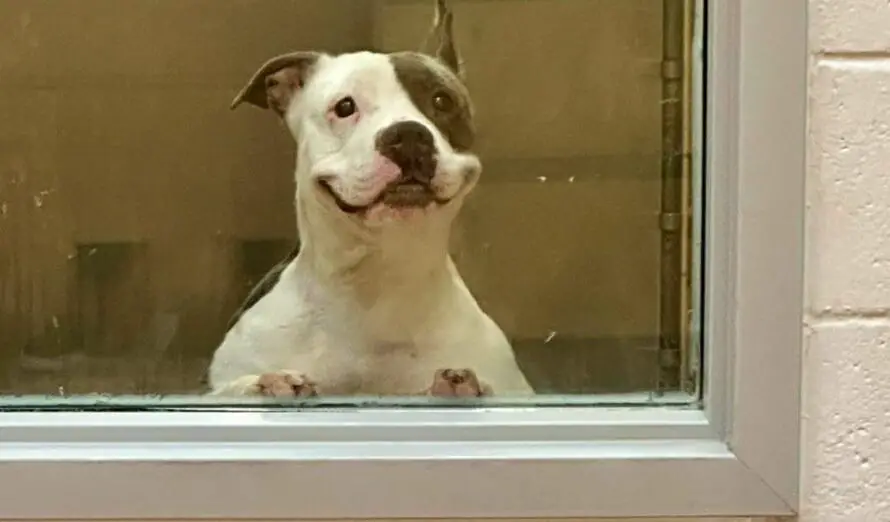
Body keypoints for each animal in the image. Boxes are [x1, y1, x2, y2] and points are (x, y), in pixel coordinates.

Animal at [205, 0, 532, 396]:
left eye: (442, 100)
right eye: (344, 107)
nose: (408, 135)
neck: (376, 282)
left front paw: (460, 386)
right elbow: (234, 388)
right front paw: (271, 384)